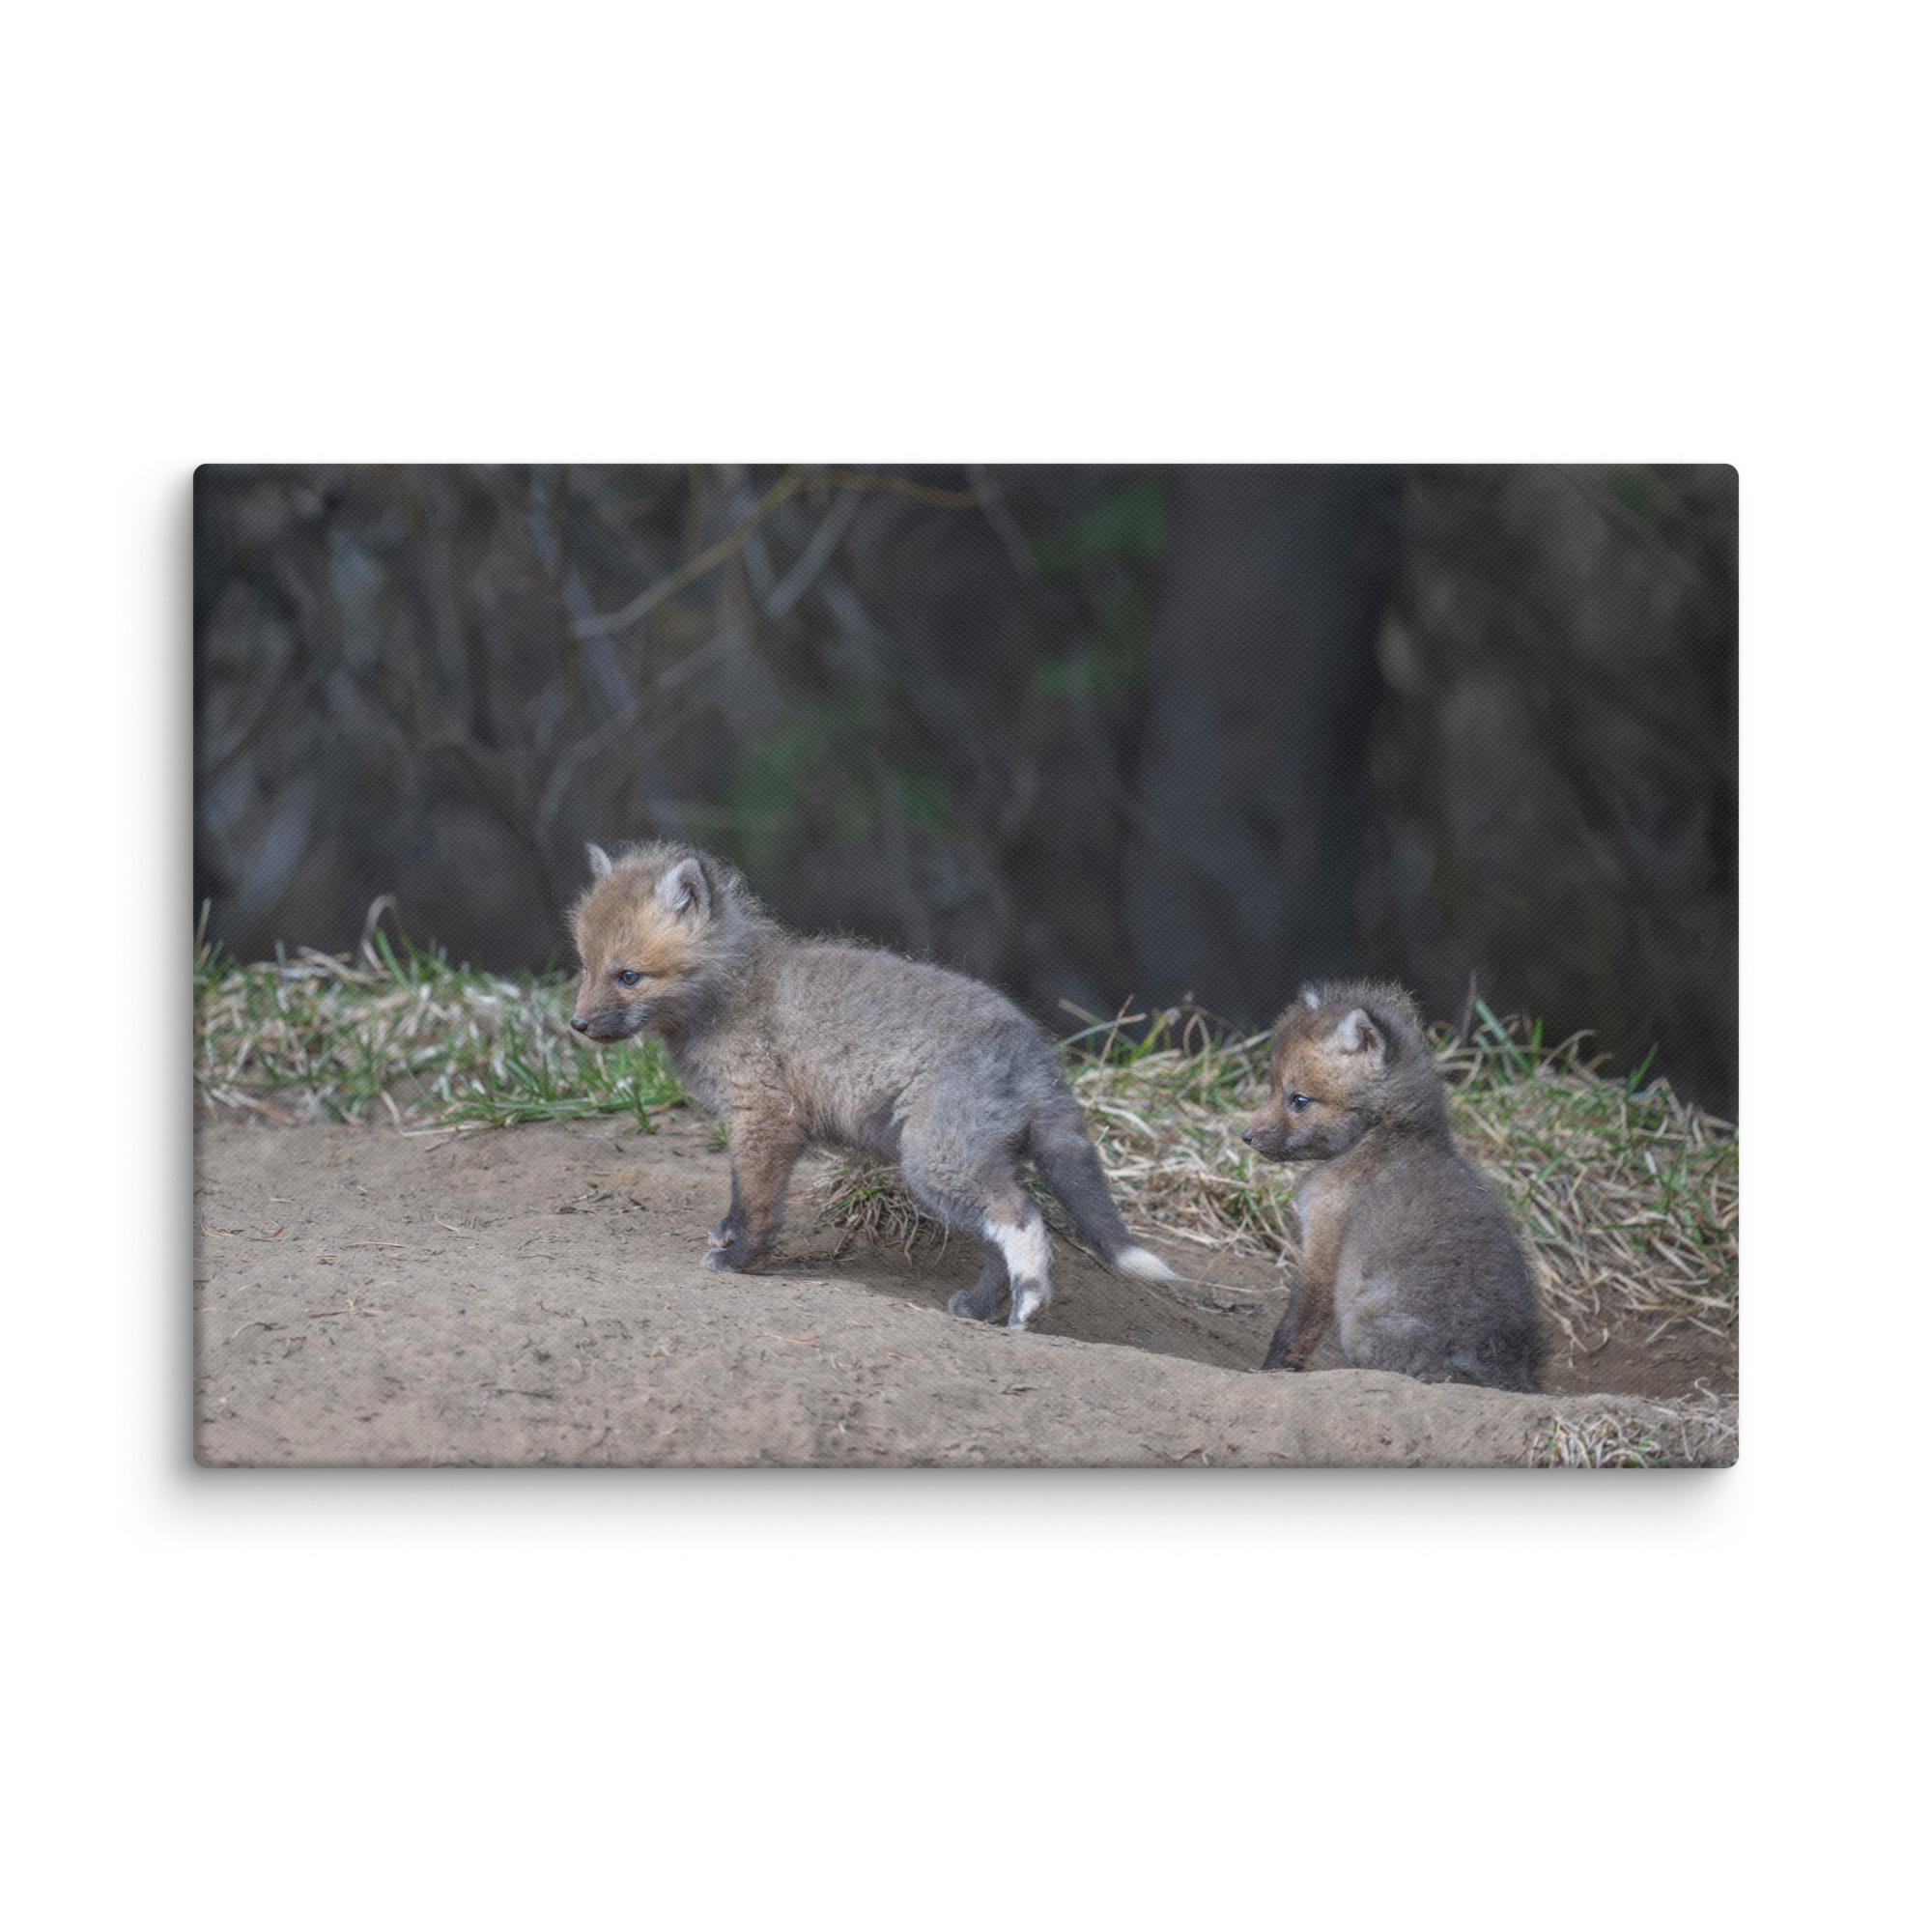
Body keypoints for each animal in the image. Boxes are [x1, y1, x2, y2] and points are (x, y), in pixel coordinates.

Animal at [569, 840, 1176, 1329]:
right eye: (585, 968)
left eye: (629, 976)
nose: (576, 1025)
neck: (733, 992)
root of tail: (1038, 1053)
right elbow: (743, 1196)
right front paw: (729, 1237)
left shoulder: (765, 1117)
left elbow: (755, 1201)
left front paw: (740, 1260)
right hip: (965, 1166)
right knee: (997, 1242)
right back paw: (981, 1309)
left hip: (936, 1162)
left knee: (1022, 1218)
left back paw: (1030, 1306)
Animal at [1241, 980, 1542, 1391]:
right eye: (1272, 1088)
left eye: (1299, 1100)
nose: (1246, 1136)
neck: (1384, 1135)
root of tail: (1502, 1376)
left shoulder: (1324, 1243)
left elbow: (1296, 1326)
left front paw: (1269, 1371)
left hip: (1360, 1324)